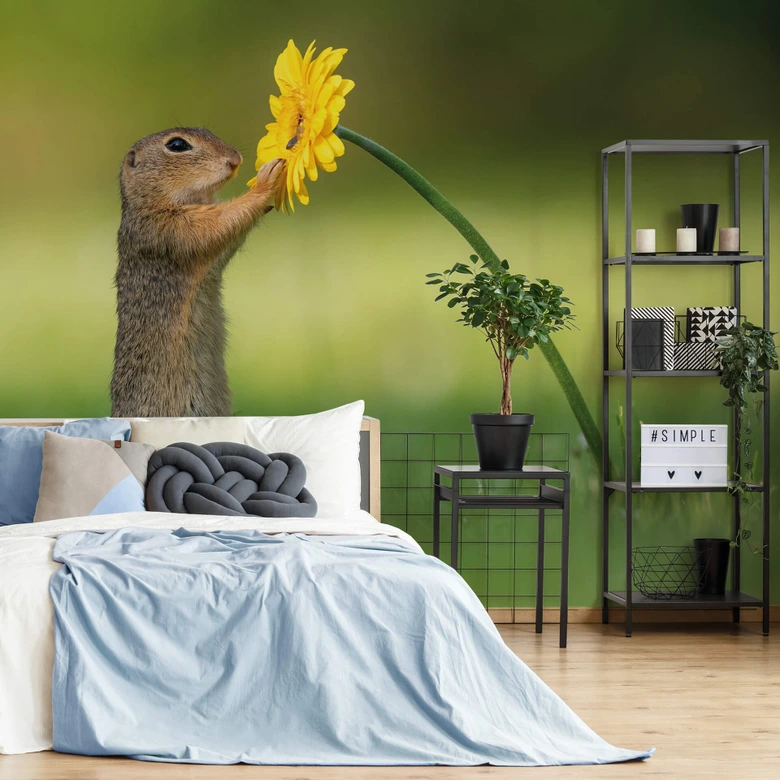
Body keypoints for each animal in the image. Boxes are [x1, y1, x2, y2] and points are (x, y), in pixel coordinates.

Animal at [110, 127, 285, 418]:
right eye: (177, 145)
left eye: (208, 130)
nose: (235, 159)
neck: (148, 204)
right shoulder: (172, 230)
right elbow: (221, 222)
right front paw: (266, 180)